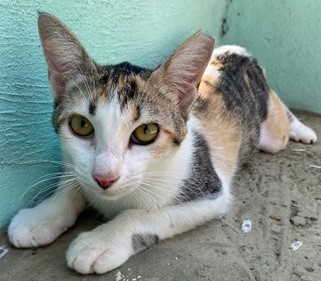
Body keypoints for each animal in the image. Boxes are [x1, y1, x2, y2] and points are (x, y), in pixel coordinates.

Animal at [7, 13, 318, 274]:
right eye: (81, 125)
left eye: (146, 131)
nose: (105, 178)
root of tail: (237, 52)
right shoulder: (81, 167)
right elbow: (73, 183)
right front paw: (41, 216)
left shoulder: (211, 192)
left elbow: (144, 214)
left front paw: (100, 242)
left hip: (270, 134)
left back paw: (301, 129)